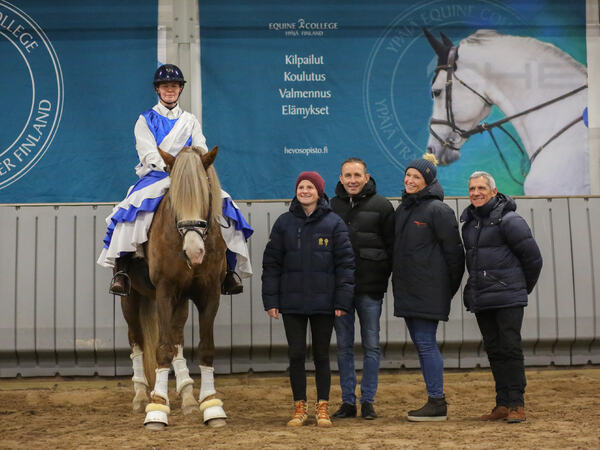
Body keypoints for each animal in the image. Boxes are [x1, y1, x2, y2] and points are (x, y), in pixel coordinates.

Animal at [121, 146, 227, 430]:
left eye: (206, 193)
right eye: (174, 200)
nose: (194, 252)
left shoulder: (209, 293)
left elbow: (205, 347)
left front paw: (211, 405)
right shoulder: (165, 292)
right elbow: (162, 348)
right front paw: (157, 408)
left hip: (181, 301)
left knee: (178, 339)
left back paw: (188, 395)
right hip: (131, 299)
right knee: (136, 340)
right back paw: (139, 396)